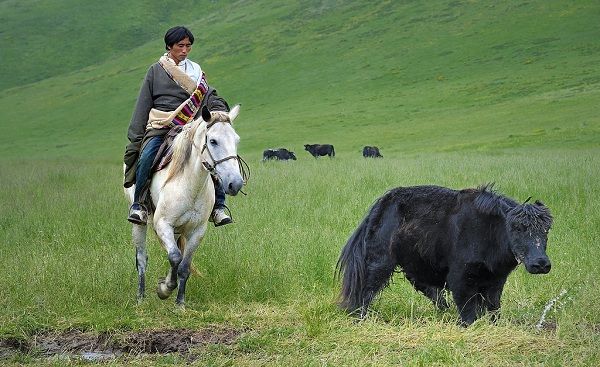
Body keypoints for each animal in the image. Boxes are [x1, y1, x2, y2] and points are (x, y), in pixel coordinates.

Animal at [124, 105, 244, 306]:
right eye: (213, 141)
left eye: (236, 140)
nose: (235, 183)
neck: (190, 184)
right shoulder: (163, 224)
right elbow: (174, 257)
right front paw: (164, 289)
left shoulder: (197, 231)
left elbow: (184, 265)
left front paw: (180, 303)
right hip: (139, 223)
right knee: (141, 258)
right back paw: (140, 298)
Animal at [336, 185, 552, 326]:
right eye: (517, 228)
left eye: (547, 229)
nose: (541, 264)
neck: (491, 232)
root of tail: (379, 207)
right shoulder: (461, 277)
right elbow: (468, 309)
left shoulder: (496, 279)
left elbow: (493, 307)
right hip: (380, 262)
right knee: (367, 289)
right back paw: (359, 317)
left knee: (430, 291)